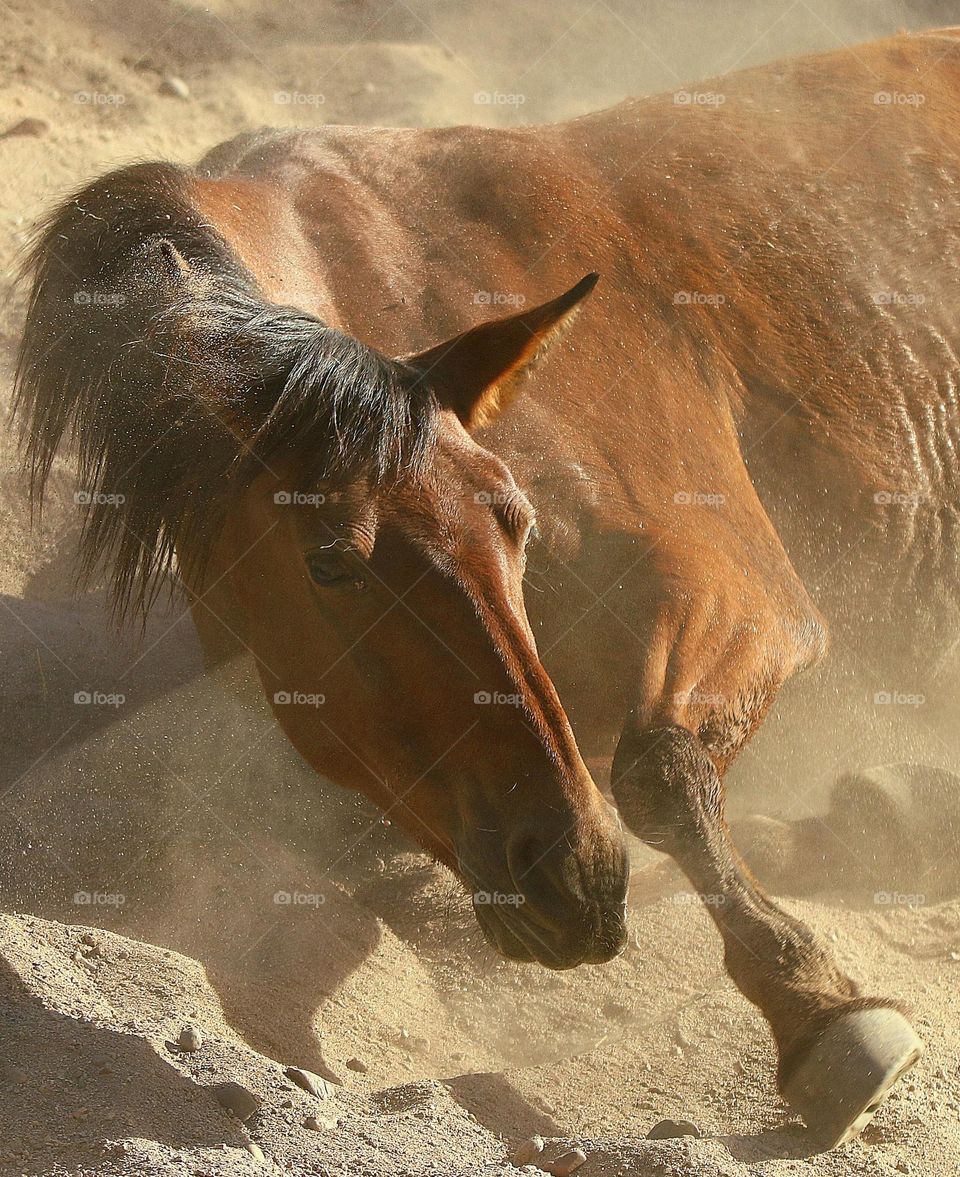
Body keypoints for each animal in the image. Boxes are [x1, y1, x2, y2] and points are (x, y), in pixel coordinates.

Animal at [15, 25, 960, 1150]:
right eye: (331, 559)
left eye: (519, 522)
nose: (578, 879)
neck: (397, 269)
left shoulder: (741, 588)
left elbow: (658, 768)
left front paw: (816, 1006)